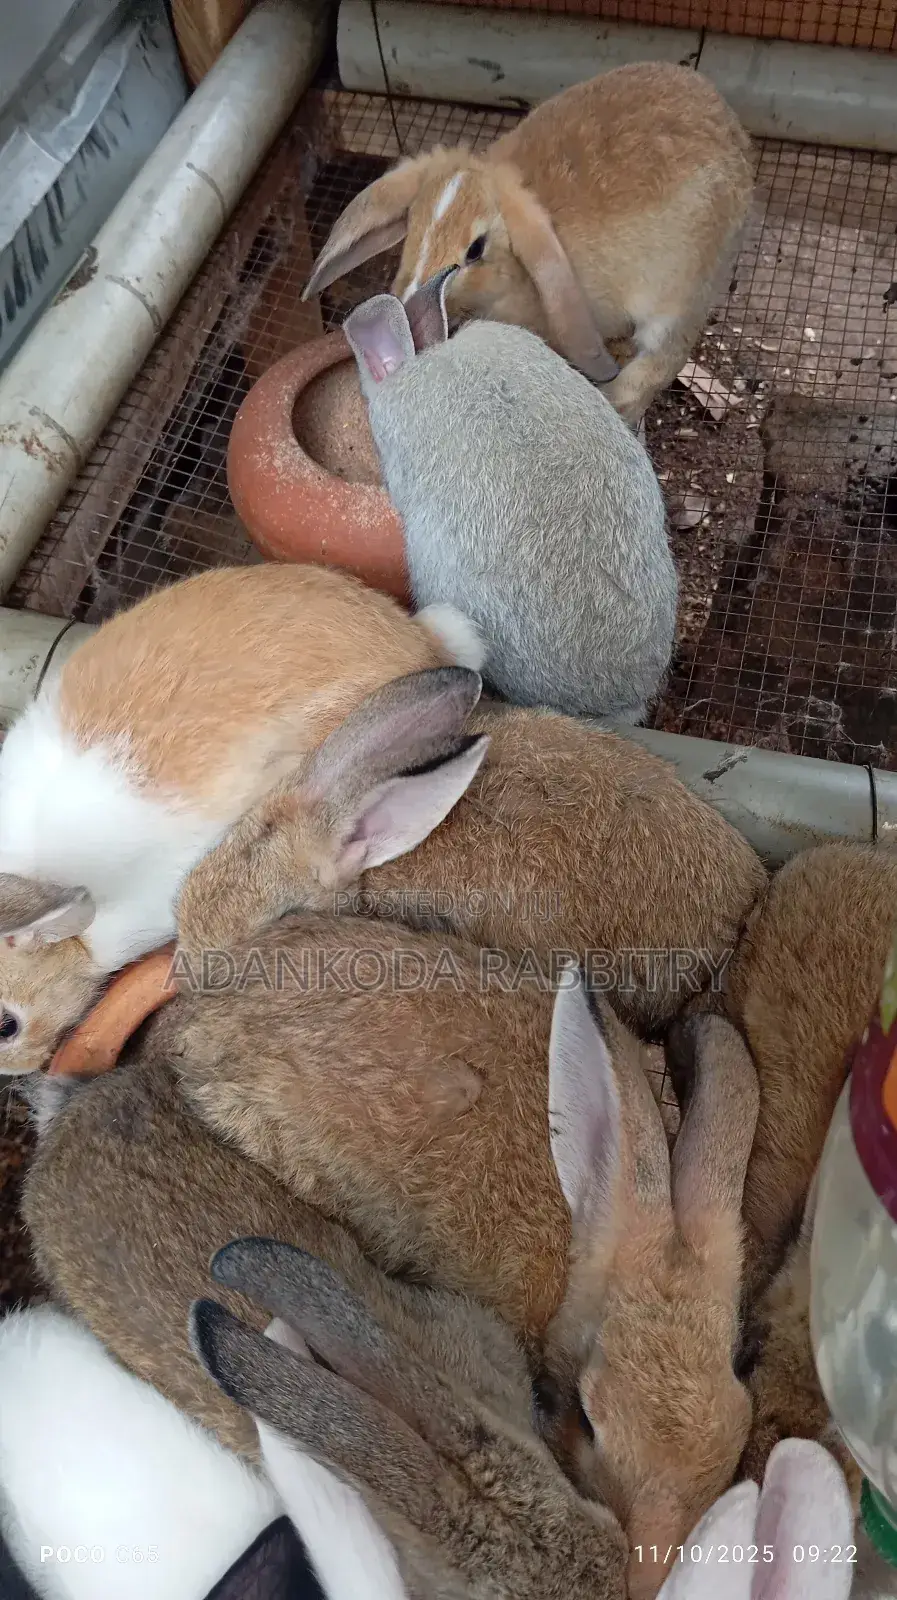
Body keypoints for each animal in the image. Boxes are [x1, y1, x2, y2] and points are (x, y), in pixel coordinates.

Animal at [304, 62, 754, 426]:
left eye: (475, 249)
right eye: (412, 226)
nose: (409, 300)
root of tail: (732, 128)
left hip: (683, 295)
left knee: (658, 364)